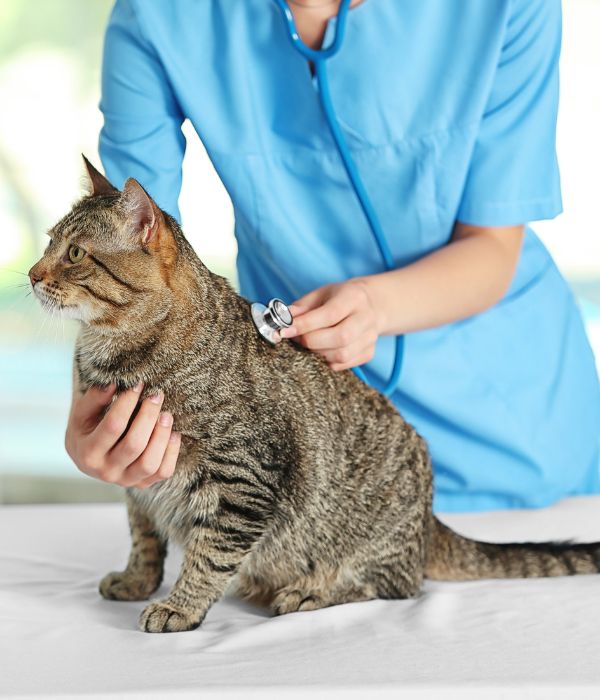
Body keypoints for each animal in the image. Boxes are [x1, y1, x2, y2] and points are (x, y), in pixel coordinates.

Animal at [29, 160, 600, 636]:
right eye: (48, 242)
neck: (111, 353)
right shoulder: (138, 480)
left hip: (371, 543)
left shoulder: (244, 481)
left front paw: (181, 606)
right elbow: (144, 536)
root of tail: (430, 521)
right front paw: (137, 581)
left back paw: (308, 593)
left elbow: (209, 556)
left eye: (74, 253)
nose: (32, 275)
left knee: (396, 587)